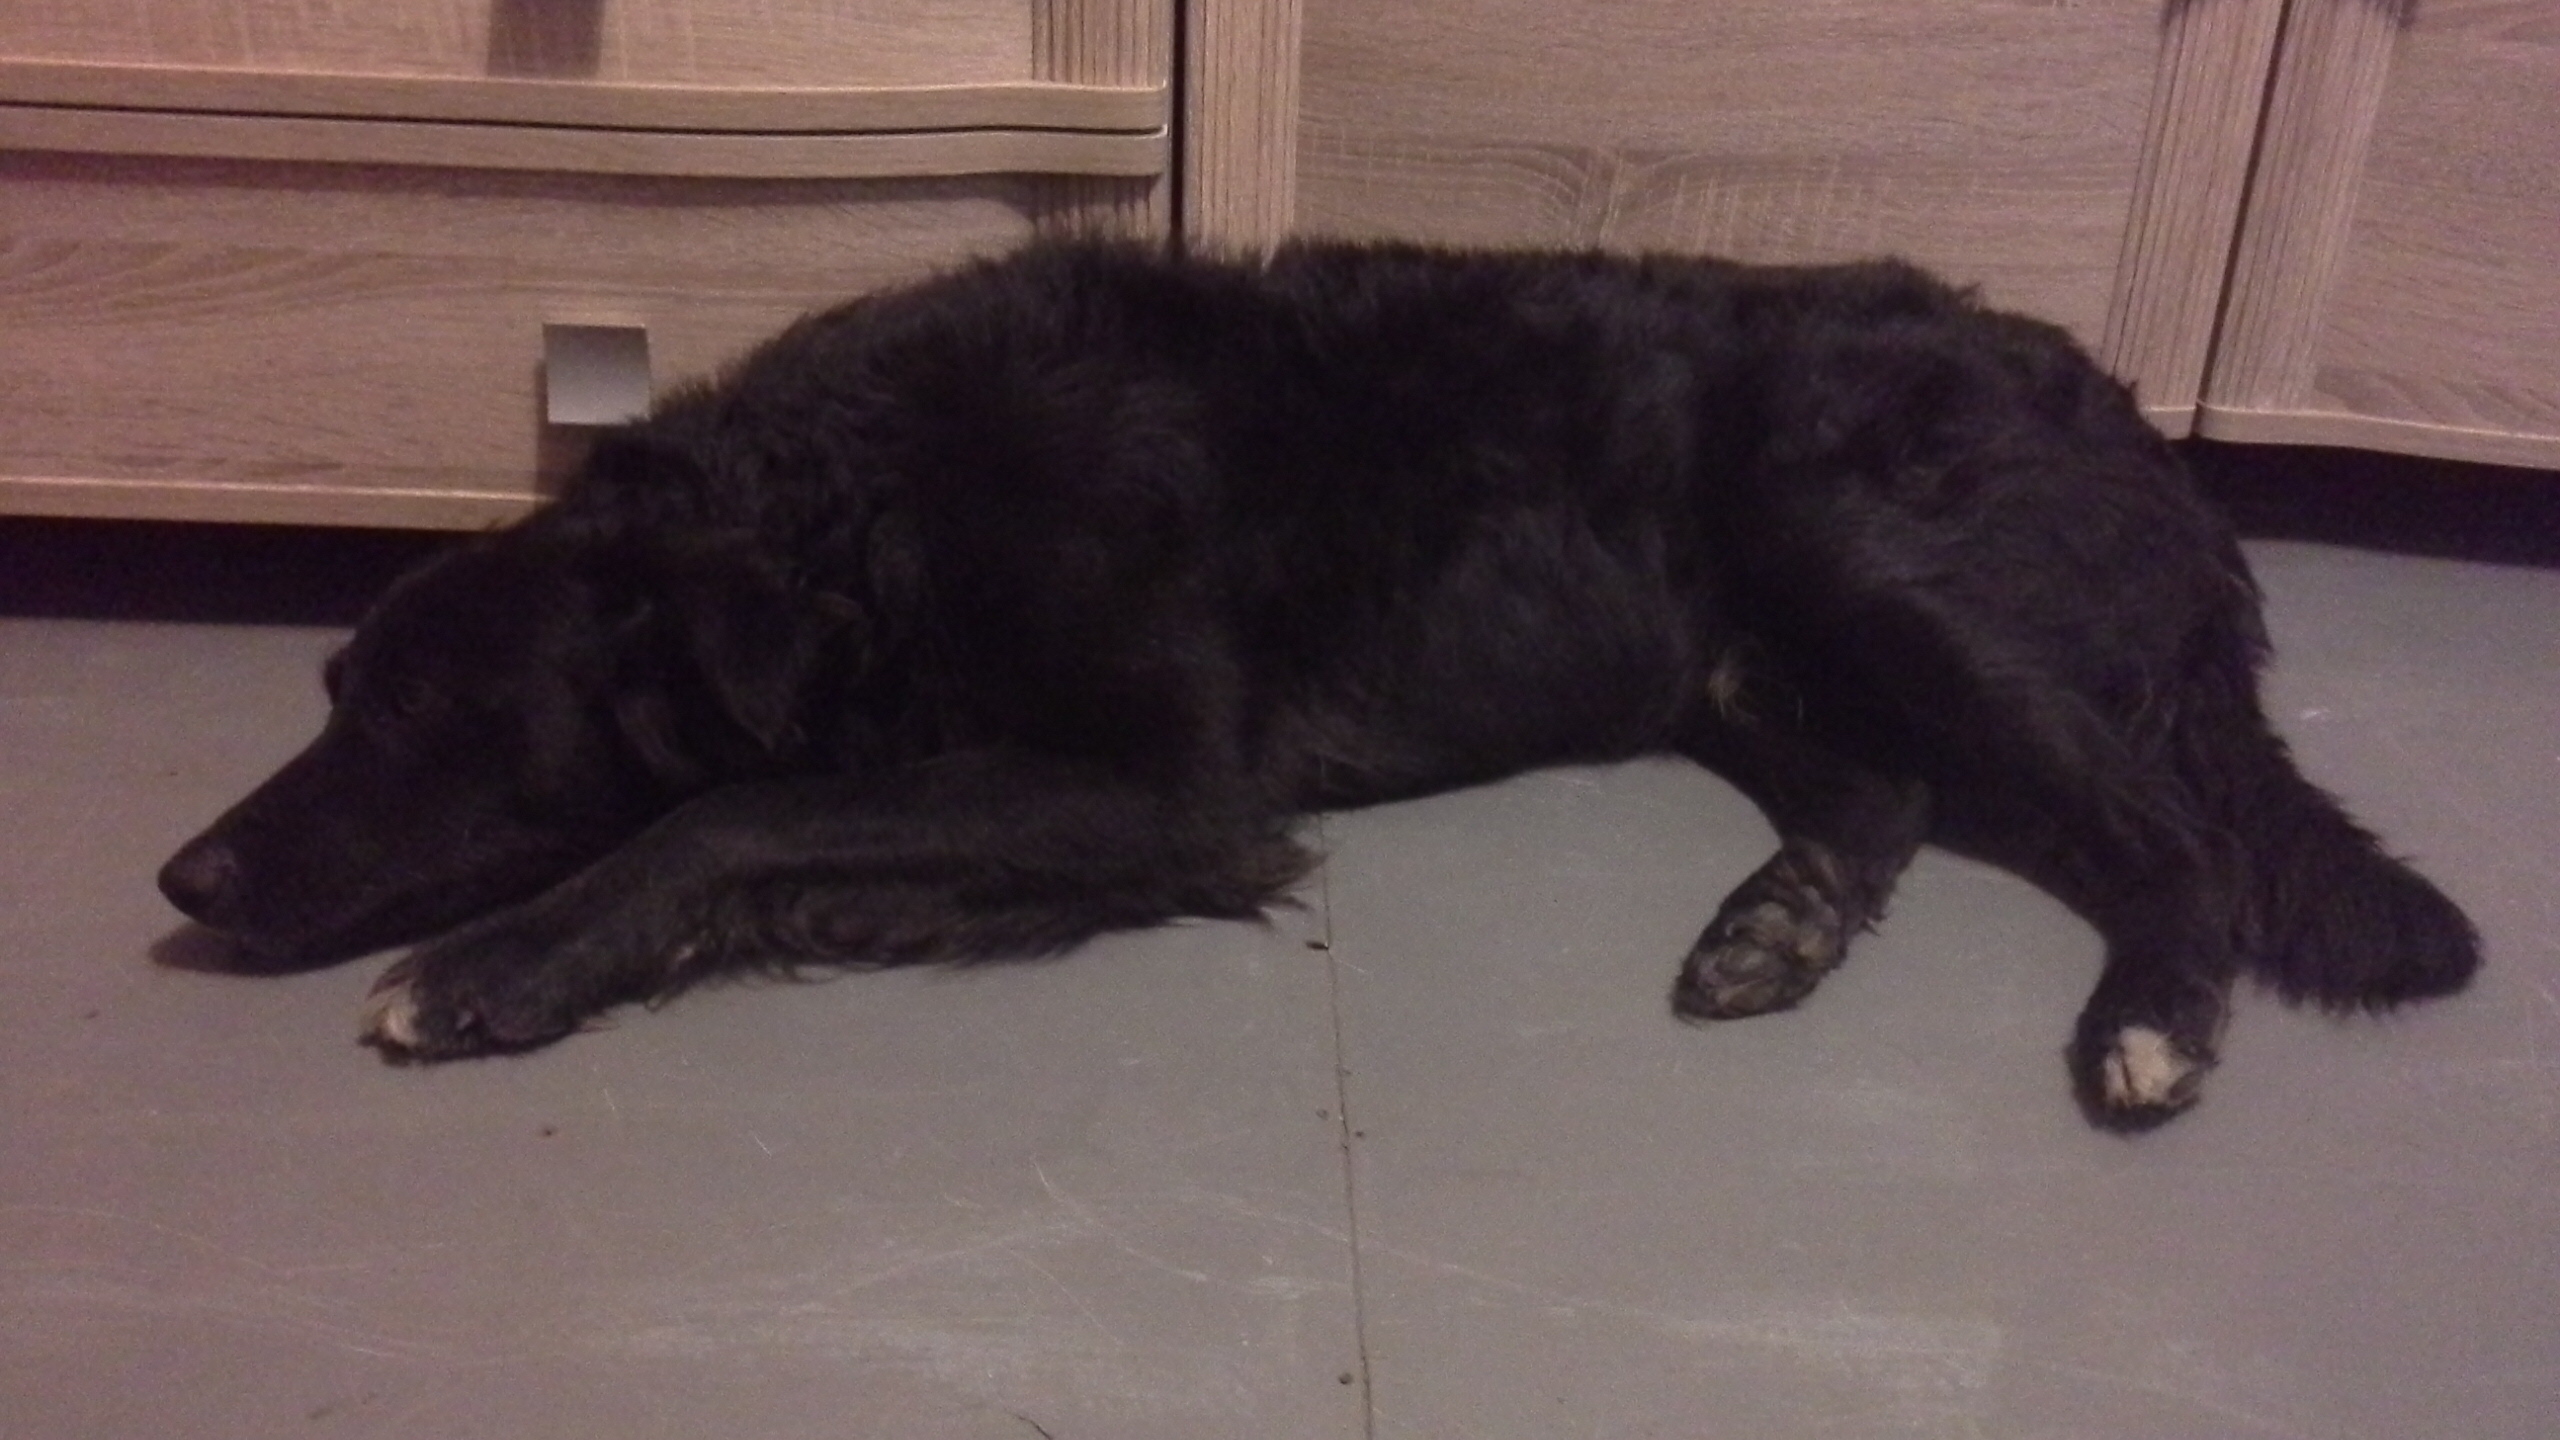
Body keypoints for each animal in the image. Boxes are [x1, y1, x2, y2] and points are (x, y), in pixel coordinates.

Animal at [157, 239, 2480, 1130]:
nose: (183, 881)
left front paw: (501, 966)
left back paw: (2147, 1027)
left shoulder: (1166, 780)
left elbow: (732, 809)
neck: (867, 518)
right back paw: (1771, 925)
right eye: (331, 681)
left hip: (1864, 555)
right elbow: (775, 818)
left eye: (427, 715)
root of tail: (2159, 443)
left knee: (2165, 837)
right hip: (1745, 644)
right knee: (1886, 802)